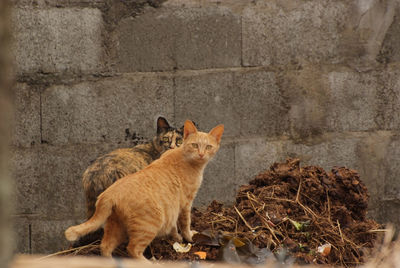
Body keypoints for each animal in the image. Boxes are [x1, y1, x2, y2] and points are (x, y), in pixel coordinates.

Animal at [64, 120, 223, 258]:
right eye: (195, 145)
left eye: (208, 147)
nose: (201, 154)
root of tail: (108, 193)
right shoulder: (185, 203)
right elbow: (185, 224)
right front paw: (188, 237)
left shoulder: (172, 206)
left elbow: (173, 225)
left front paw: (176, 237)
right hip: (148, 224)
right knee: (132, 249)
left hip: (115, 224)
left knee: (105, 246)